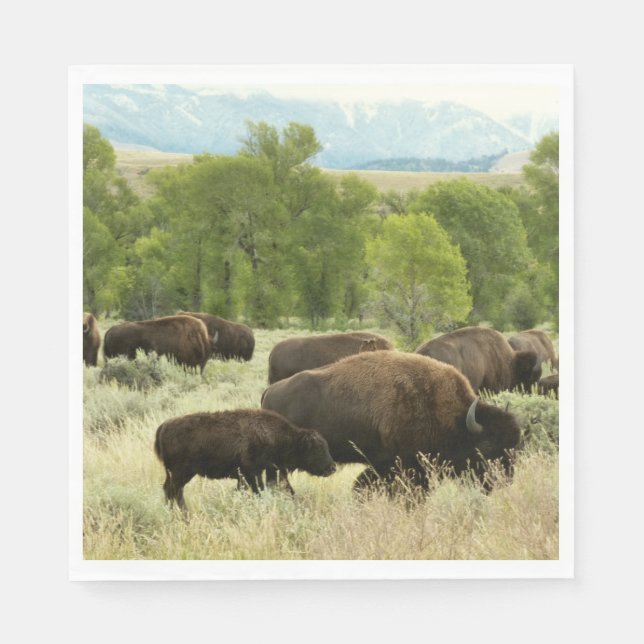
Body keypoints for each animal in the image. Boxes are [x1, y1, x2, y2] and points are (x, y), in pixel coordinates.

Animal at [154, 409, 336, 509]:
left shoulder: (250, 475)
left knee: (169, 490)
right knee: (175, 492)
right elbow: (258, 490)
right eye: (317, 449)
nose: (332, 467)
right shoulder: (252, 472)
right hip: (181, 473)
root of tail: (164, 426)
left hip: (175, 474)